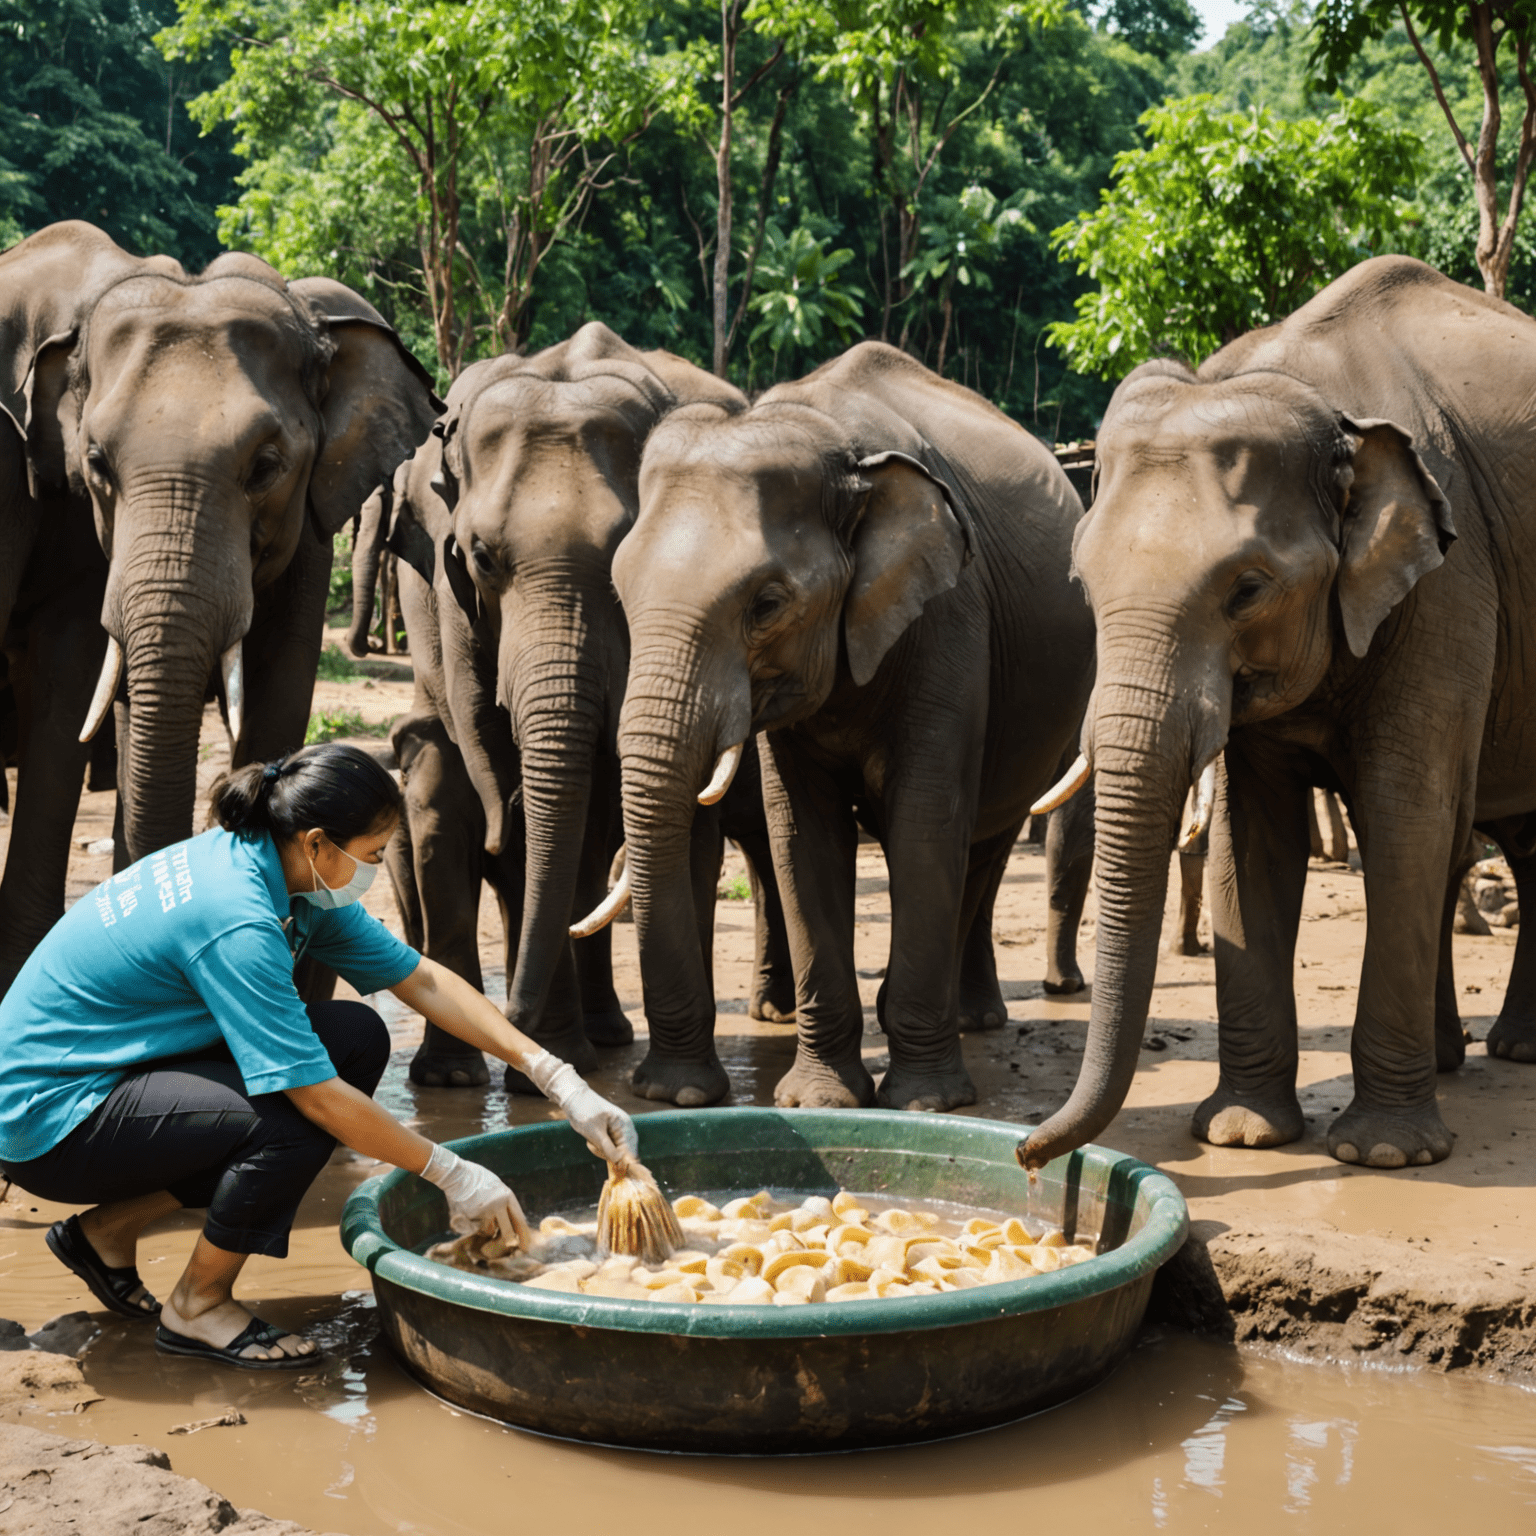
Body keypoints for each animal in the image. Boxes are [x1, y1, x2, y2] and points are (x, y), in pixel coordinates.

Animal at [351, 333, 798, 1105]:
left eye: (624, 563)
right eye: (480, 558)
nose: (512, 1020)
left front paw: (672, 1092)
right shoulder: (440, 604)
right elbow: (498, 788)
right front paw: (511, 1074)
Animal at [605, 342, 1099, 1112]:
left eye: (767, 604)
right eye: (620, 589)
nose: (668, 1094)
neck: (837, 447)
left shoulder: (949, 620)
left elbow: (925, 823)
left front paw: (923, 1105)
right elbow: (801, 835)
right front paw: (819, 1102)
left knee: (982, 844)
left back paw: (967, 1022)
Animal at [1013, 258, 1536, 1173]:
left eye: (1248, 589)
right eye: (1081, 582)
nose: (1029, 1156)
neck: (1324, 400)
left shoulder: (1450, 584)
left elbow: (1406, 816)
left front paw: (1384, 1154)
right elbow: (1251, 834)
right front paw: (1243, 1133)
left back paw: (1510, 1057)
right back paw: (1467, 1058)